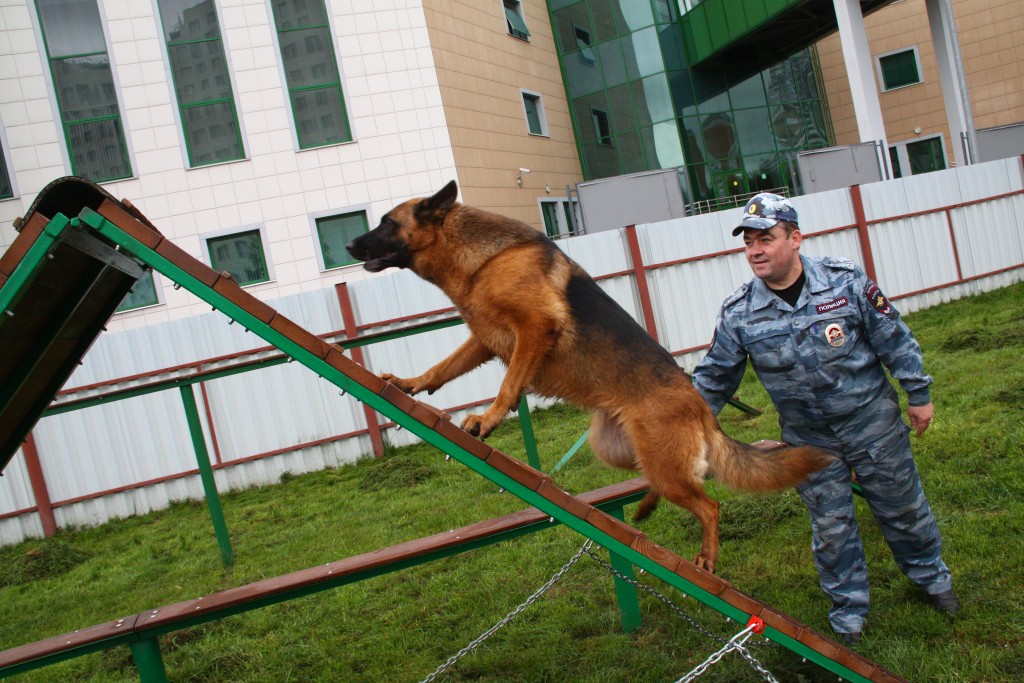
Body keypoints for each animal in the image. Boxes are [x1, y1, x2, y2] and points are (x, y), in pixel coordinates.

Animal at [346, 181, 831, 573]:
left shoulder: (535, 328)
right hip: (620, 450)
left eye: (387, 222)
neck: (482, 258)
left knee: (708, 504)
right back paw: (644, 510)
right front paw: (408, 385)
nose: (349, 246)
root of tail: (701, 407)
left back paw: (707, 556)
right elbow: (442, 368)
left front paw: (488, 419)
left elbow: (508, 383)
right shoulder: (485, 339)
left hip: (664, 464)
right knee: (670, 481)